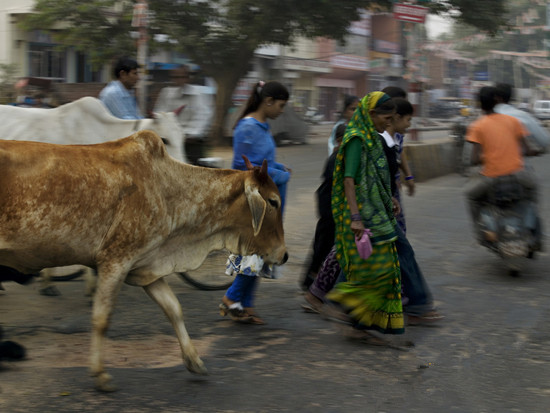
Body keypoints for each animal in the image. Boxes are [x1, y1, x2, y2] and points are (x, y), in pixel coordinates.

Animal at [0, 131, 292, 390]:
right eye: (273, 202)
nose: (284, 254)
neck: (169, 191)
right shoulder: (115, 260)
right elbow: (101, 318)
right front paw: (100, 375)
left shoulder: (147, 267)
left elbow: (174, 309)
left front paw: (195, 361)